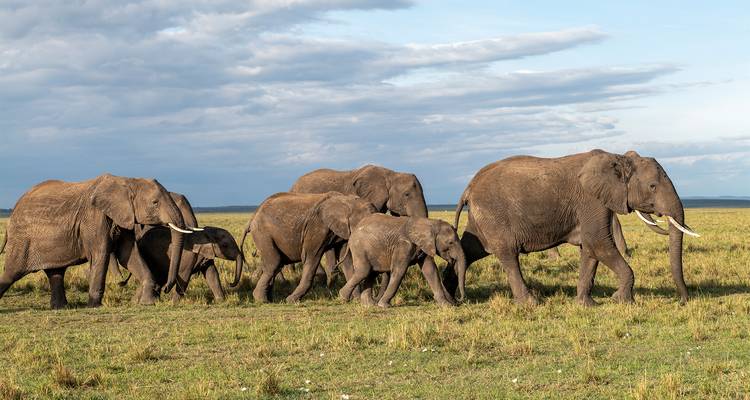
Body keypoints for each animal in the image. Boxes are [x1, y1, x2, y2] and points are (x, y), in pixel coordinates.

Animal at [0, 174, 193, 309]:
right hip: (22, 241)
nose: (166, 288)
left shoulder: (123, 218)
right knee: (11, 272)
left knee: (56, 273)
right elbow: (101, 254)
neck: (127, 181)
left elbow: (128, 255)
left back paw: (61, 307)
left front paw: (148, 302)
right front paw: (94, 306)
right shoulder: (93, 218)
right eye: (155, 203)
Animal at [113, 193, 243, 302]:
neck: (206, 232)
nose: (230, 283)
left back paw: (138, 301)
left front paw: (221, 301)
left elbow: (212, 274)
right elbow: (184, 277)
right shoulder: (189, 257)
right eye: (225, 245)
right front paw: (174, 303)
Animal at [239, 192, 377, 303]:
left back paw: (269, 298)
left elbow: (347, 262)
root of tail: (253, 216)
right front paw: (291, 300)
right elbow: (311, 258)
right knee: (274, 262)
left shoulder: (341, 231)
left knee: (275, 263)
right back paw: (262, 300)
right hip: (263, 234)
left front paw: (356, 299)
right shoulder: (316, 227)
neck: (347, 201)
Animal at [443, 149, 699, 306]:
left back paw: (449, 296)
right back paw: (531, 303)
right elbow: (599, 243)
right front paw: (621, 300)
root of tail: (469, 187)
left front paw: (587, 305)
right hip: (494, 214)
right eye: (653, 186)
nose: (683, 300)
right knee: (508, 255)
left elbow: (590, 249)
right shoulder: (592, 200)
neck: (618, 158)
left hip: (482, 218)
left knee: (469, 250)